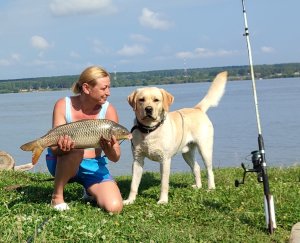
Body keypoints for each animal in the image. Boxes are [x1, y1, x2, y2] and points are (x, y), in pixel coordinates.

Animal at [123, 71, 226, 204]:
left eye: (156, 100)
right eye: (141, 100)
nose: (148, 109)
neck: (150, 130)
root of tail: (197, 108)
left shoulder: (165, 160)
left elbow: (164, 183)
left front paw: (163, 200)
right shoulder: (137, 159)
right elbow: (133, 184)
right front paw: (130, 200)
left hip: (205, 149)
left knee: (209, 170)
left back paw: (211, 188)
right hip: (187, 153)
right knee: (196, 168)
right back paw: (198, 186)